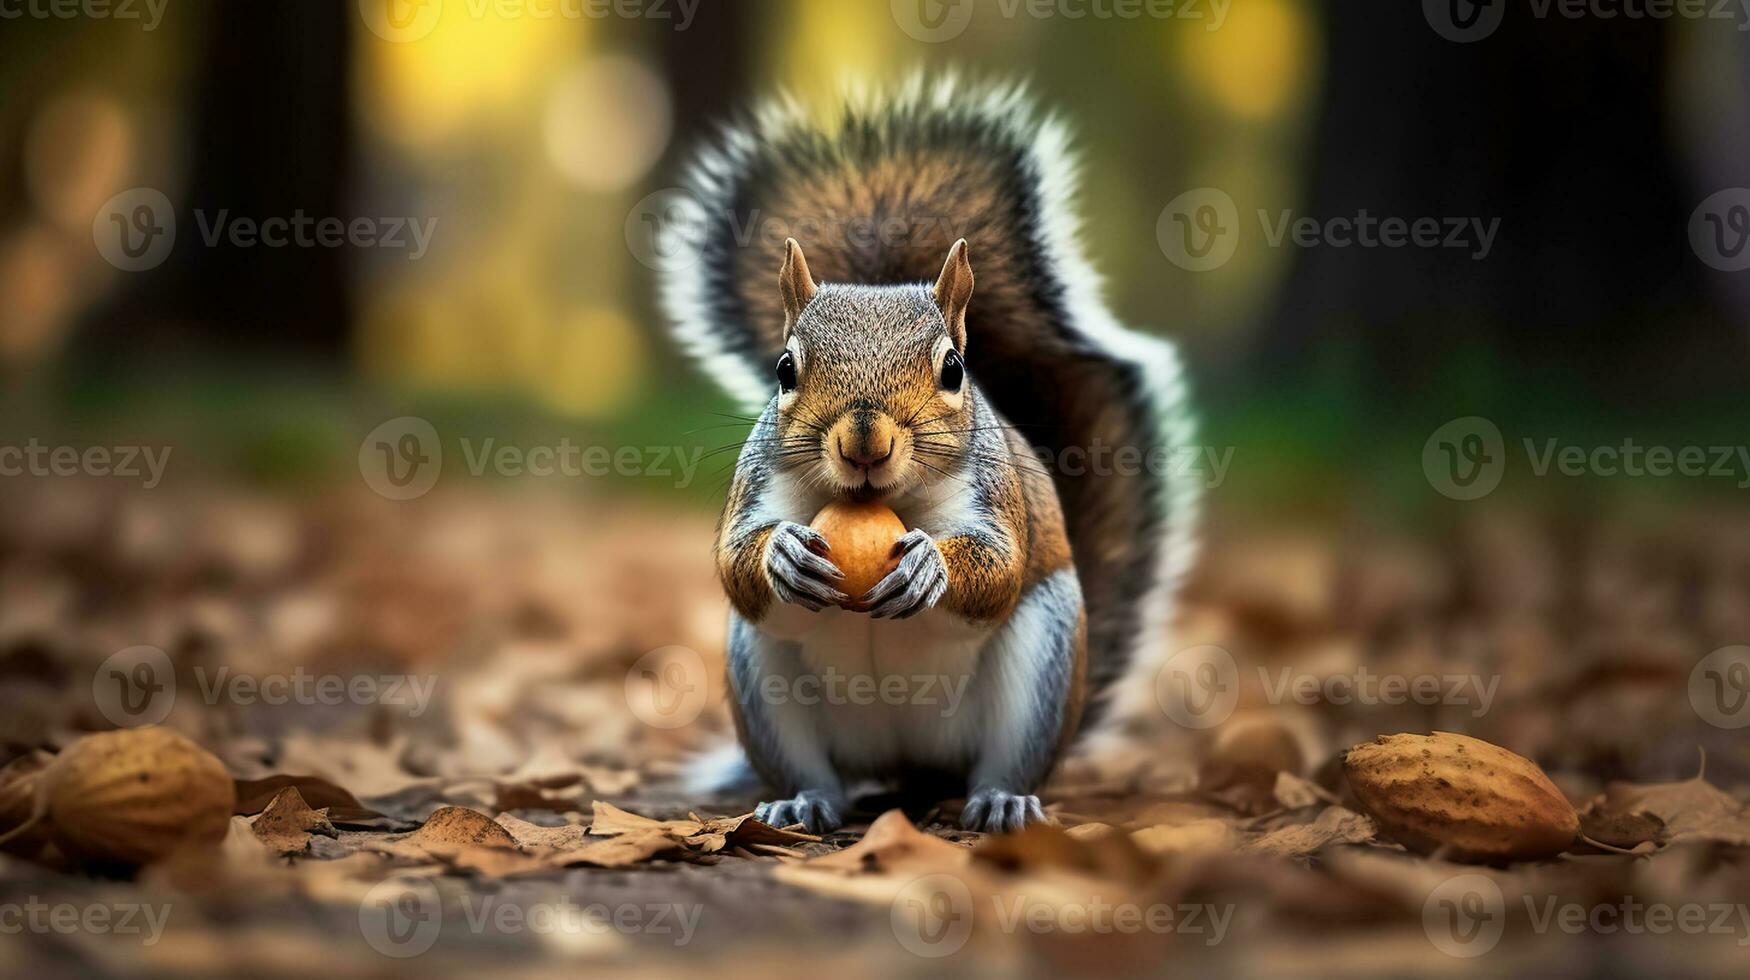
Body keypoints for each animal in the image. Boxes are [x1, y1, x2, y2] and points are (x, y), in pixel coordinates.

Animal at [658, 76, 1204, 829]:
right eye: (784, 368)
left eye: (954, 368)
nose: (864, 441)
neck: (878, 500)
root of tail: (905, 766)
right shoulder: (757, 486)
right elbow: (734, 561)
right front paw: (783, 554)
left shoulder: (994, 495)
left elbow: (998, 566)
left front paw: (929, 567)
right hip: (762, 678)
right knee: (815, 769)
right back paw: (803, 801)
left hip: (1042, 659)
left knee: (1003, 759)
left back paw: (1002, 798)